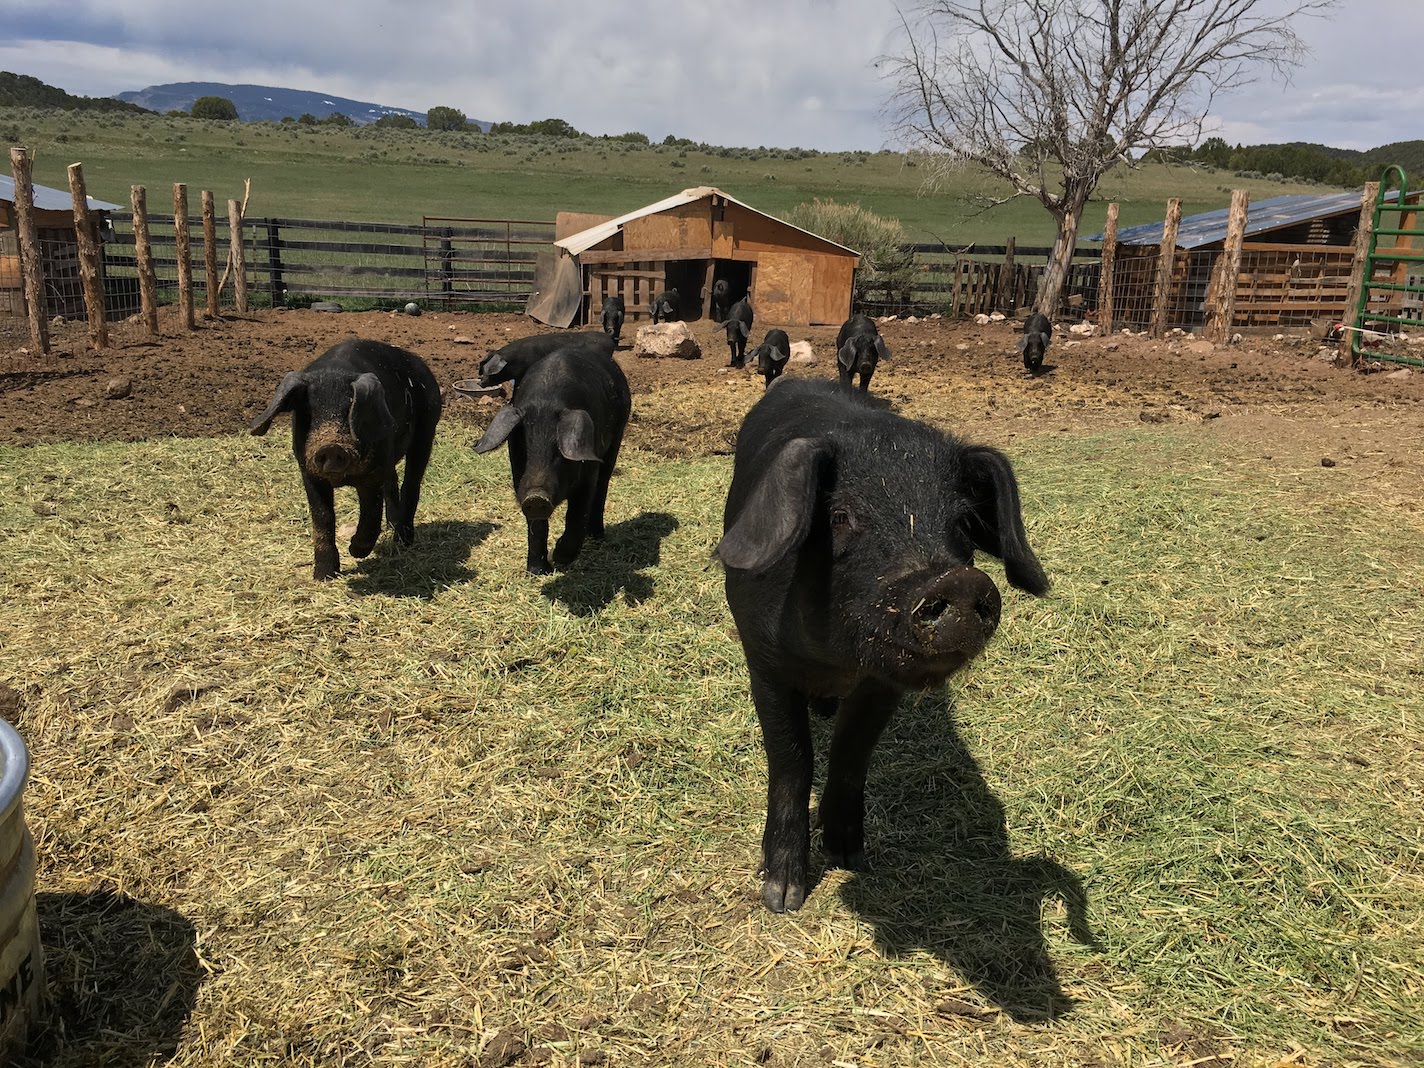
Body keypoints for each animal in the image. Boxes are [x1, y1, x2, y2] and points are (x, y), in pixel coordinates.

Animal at [250, 339, 443, 581]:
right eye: (309, 412)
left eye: (350, 406)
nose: (330, 446)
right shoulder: (308, 473)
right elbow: (322, 517)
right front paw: (324, 576)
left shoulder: (372, 473)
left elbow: (371, 513)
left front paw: (356, 551)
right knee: (393, 480)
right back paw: (392, 526)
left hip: (427, 427)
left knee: (411, 484)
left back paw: (402, 542)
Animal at [474, 347, 631, 575]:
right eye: (526, 446)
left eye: (558, 451)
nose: (536, 497)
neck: (545, 404)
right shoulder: (519, 477)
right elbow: (536, 525)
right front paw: (538, 571)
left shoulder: (588, 472)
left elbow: (578, 513)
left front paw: (559, 559)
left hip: (618, 434)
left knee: (602, 487)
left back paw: (597, 537)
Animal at [716, 379, 1049, 913]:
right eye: (840, 515)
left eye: (962, 522)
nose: (956, 582)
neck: (838, 660)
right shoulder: (764, 660)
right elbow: (792, 762)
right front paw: (782, 897)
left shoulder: (883, 684)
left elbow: (853, 752)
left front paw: (850, 857)